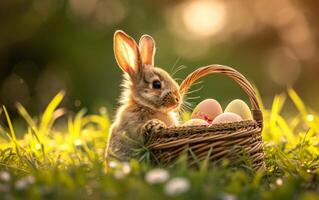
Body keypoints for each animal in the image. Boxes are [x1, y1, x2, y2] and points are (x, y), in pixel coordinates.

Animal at [106, 30, 182, 161]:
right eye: (156, 84)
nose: (178, 99)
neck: (144, 105)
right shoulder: (132, 126)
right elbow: (139, 132)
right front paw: (154, 125)